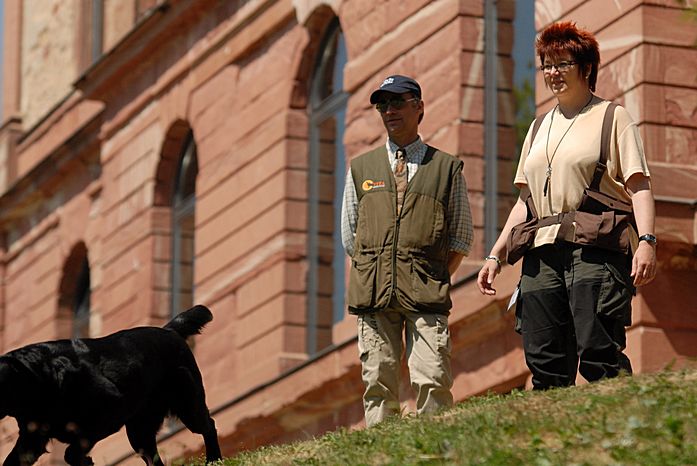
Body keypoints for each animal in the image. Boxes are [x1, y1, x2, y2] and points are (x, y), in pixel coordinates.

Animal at [0, 305, 222, 466]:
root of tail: (169, 330)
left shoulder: (110, 410)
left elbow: (72, 451)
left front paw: (85, 461)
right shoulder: (31, 439)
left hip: (187, 404)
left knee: (209, 425)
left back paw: (214, 460)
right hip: (140, 431)